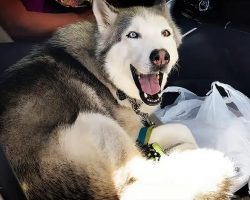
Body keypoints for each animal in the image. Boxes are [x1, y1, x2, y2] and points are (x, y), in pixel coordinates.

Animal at [0, 0, 235, 200]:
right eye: (132, 35)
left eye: (165, 33)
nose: (161, 56)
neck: (107, 76)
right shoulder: (133, 133)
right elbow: (182, 129)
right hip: (97, 123)